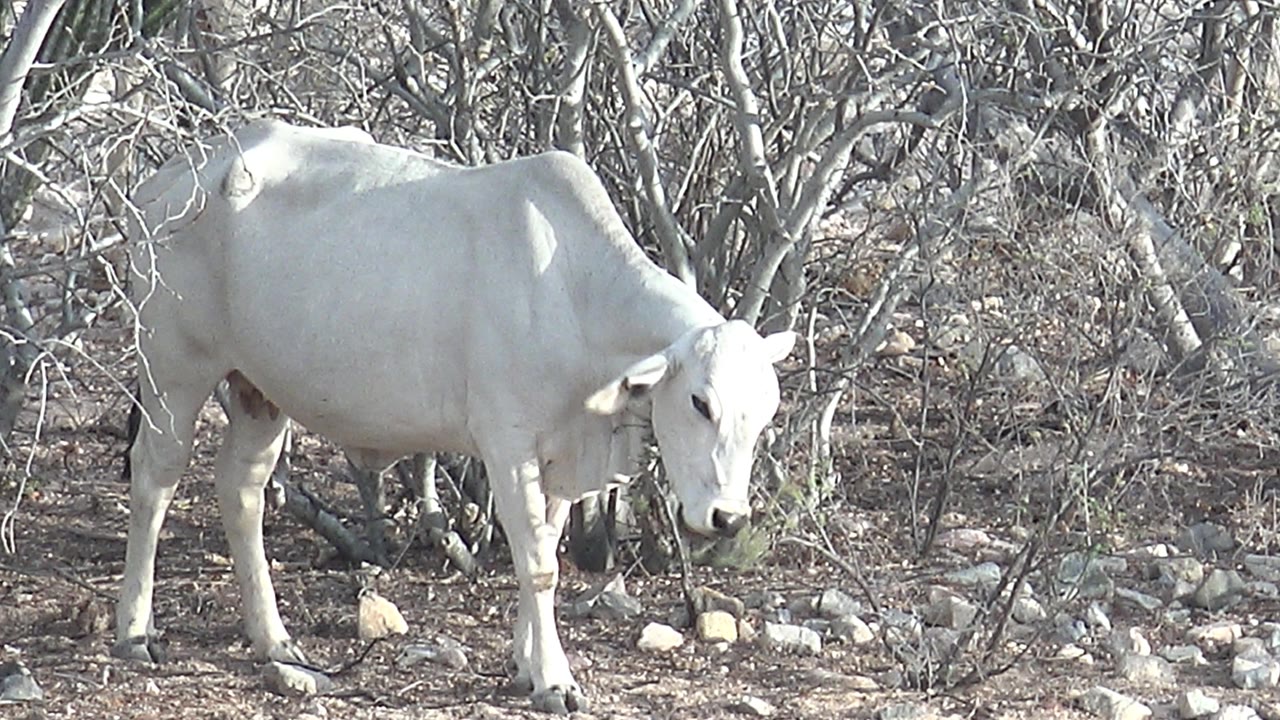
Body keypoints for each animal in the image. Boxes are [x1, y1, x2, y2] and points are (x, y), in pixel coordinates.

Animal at [115, 119, 795, 714]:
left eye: (764, 415)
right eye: (700, 402)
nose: (729, 517)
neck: (573, 290)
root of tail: (168, 178)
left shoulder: (557, 455)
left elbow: (542, 553)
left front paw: (525, 664)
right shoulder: (507, 443)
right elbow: (539, 564)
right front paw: (555, 680)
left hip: (260, 390)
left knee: (242, 490)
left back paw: (273, 638)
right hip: (172, 369)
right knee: (155, 479)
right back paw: (135, 631)